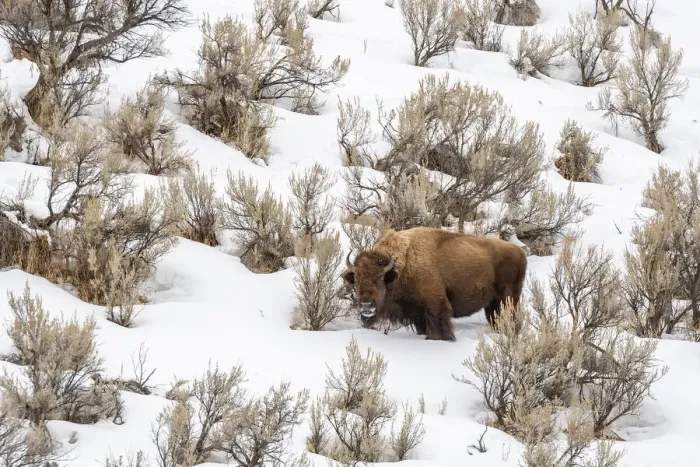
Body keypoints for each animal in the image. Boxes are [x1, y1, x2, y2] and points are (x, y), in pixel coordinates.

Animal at [341, 226, 527, 341]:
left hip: (508, 298)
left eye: (380, 279)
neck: (404, 265)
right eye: (356, 279)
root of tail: (519, 251)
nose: (366, 306)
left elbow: (437, 331)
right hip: (492, 304)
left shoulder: (435, 307)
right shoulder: (417, 314)